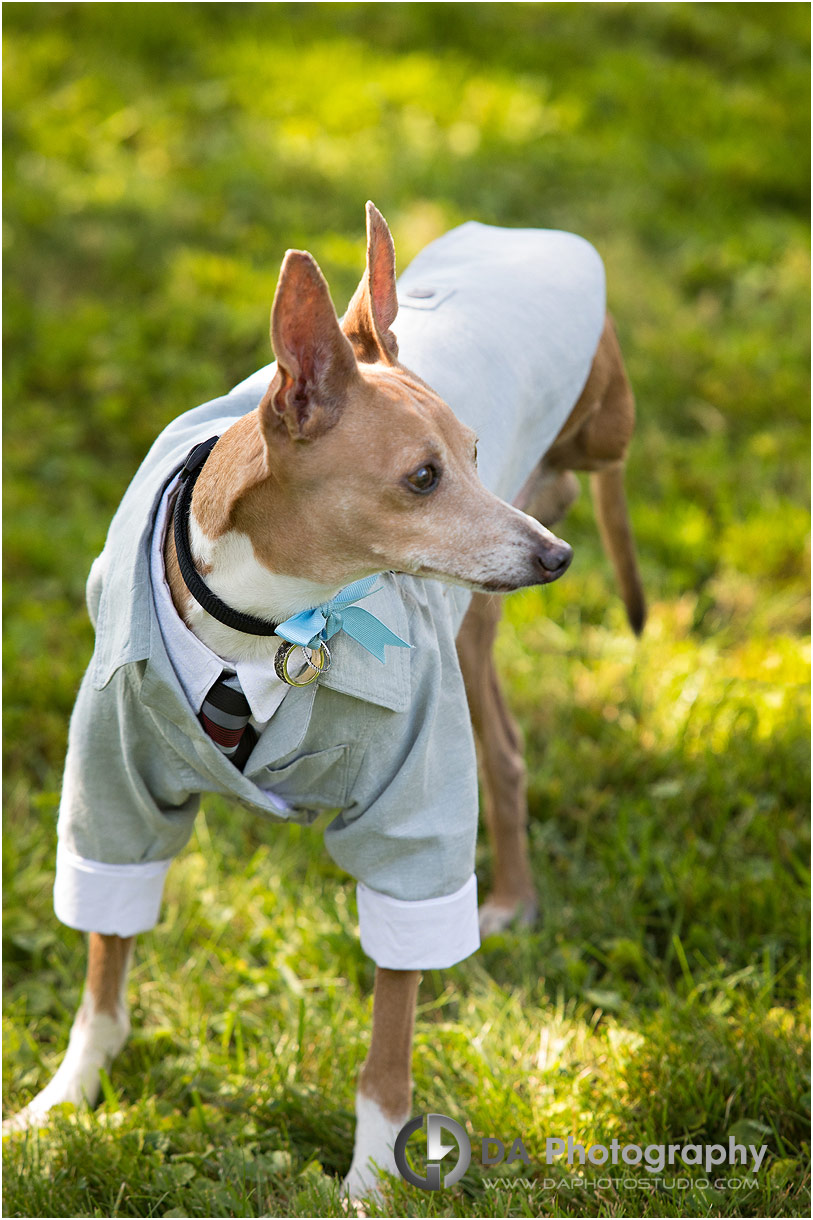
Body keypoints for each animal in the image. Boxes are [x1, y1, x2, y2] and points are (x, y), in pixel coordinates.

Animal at [4, 204, 639, 1195]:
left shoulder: (410, 810)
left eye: (475, 455)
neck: (266, 627)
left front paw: (375, 1175)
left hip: (587, 448)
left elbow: (390, 1029)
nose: (555, 558)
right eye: (422, 477)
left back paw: (512, 900)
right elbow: (106, 959)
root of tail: (520, 233)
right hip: (473, 629)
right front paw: (65, 1098)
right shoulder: (111, 783)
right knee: (503, 748)